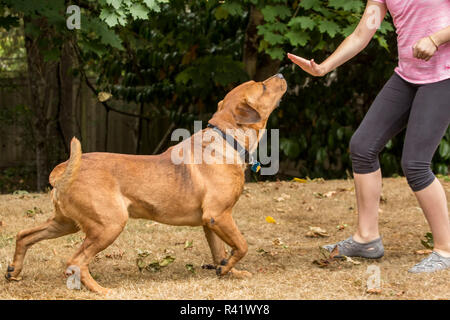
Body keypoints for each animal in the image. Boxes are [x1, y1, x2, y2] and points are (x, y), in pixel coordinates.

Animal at [7, 74, 286, 294]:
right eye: (262, 86)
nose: (282, 74)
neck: (228, 139)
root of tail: (63, 170)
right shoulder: (219, 216)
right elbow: (242, 245)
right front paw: (229, 267)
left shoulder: (210, 222)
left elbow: (220, 252)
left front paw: (228, 271)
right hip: (109, 225)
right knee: (75, 261)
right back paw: (100, 289)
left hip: (66, 223)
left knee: (25, 236)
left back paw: (13, 270)